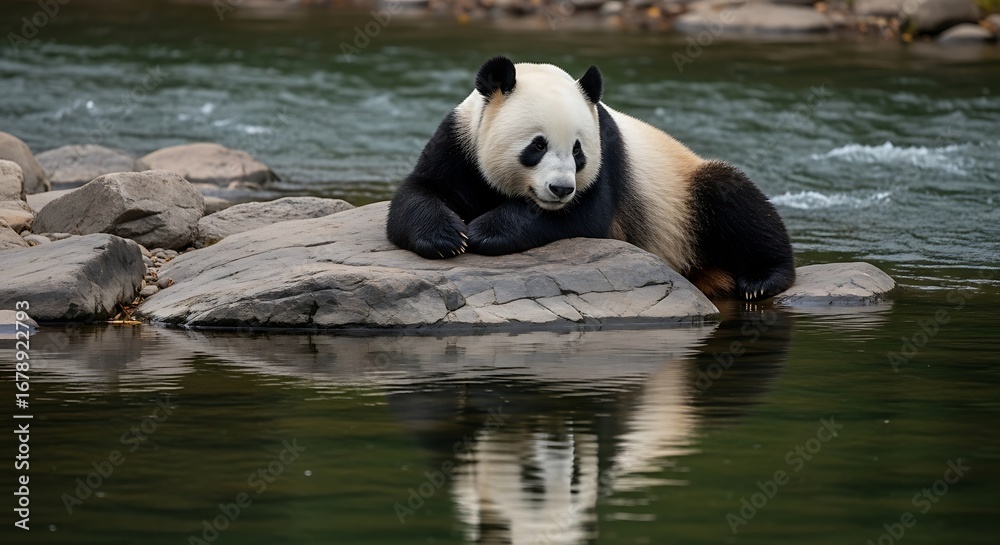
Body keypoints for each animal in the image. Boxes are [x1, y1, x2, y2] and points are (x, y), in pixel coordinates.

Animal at [386, 56, 795, 301]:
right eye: (537, 145)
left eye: (578, 151)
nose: (560, 188)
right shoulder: (460, 140)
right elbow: (418, 192)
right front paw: (447, 237)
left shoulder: (608, 157)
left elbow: (585, 216)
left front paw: (486, 230)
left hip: (685, 194)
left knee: (736, 202)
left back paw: (762, 280)